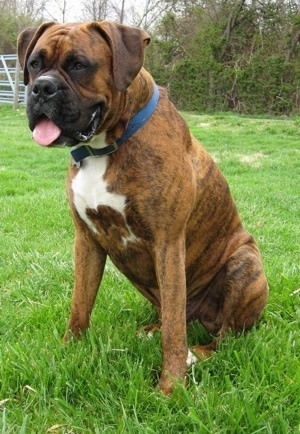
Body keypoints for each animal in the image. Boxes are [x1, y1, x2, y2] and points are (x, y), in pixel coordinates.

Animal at [17, 21, 268, 396]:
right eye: (34, 64)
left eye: (79, 65)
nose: (42, 88)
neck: (105, 147)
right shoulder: (86, 241)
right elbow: (80, 303)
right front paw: (68, 350)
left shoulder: (168, 243)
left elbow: (175, 335)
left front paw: (171, 387)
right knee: (175, 317)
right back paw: (152, 331)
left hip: (245, 262)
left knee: (221, 336)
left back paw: (197, 353)